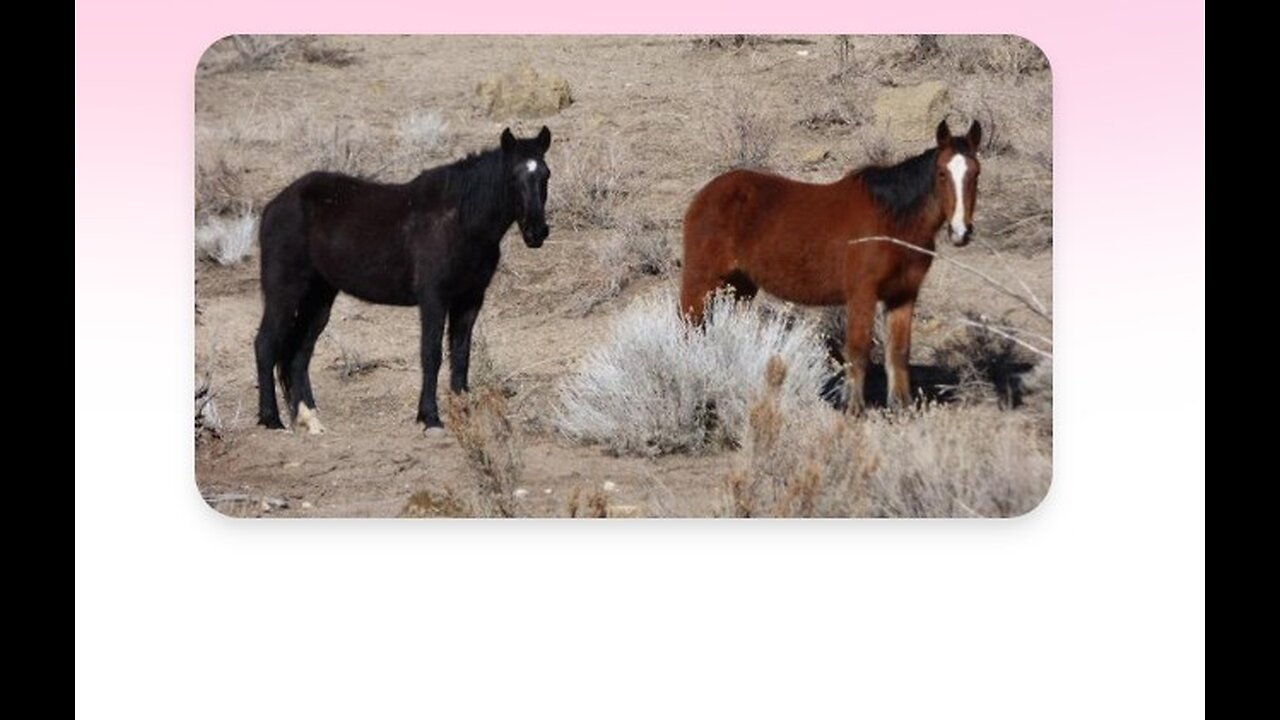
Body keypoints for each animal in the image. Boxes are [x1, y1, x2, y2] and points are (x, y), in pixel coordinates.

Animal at [254, 126, 552, 434]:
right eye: (513, 176)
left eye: (546, 175)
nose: (536, 232)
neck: (460, 220)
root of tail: (274, 206)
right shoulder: (434, 299)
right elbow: (431, 354)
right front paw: (430, 417)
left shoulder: (470, 299)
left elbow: (461, 355)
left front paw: (464, 413)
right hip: (284, 293)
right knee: (265, 344)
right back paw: (271, 419)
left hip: (320, 298)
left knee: (299, 354)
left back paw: (310, 418)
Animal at [680, 119, 981, 412]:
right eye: (941, 173)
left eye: (976, 173)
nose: (961, 232)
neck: (893, 221)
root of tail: (705, 195)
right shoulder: (862, 294)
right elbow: (858, 351)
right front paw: (853, 409)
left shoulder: (903, 296)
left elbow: (898, 352)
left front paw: (902, 408)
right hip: (701, 281)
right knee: (689, 329)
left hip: (740, 286)